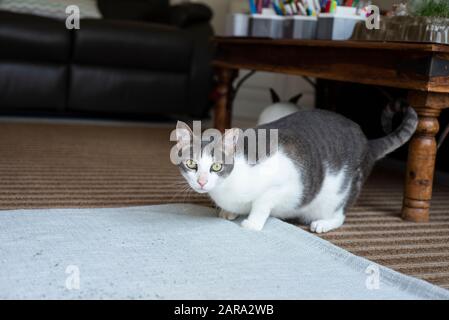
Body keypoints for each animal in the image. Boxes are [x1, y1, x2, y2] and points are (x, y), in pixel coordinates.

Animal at [174, 107, 416, 232]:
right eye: (192, 164)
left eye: (216, 166)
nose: (202, 181)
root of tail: (367, 141)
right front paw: (229, 211)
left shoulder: (286, 182)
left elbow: (262, 202)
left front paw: (252, 222)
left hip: (339, 193)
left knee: (340, 215)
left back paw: (323, 223)